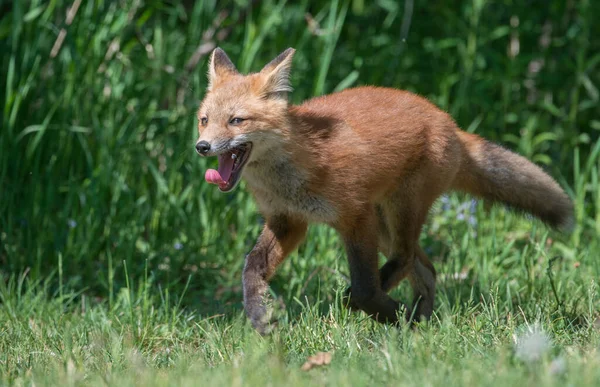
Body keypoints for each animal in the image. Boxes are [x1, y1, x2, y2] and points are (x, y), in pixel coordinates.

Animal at [195, 47, 576, 334]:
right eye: (204, 120)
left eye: (236, 121)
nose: (202, 146)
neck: (294, 167)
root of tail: (449, 123)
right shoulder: (288, 220)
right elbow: (252, 267)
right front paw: (259, 314)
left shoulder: (354, 216)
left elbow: (364, 288)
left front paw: (384, 310)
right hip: (385, 227)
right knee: (426, 268)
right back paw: (421, 321)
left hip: (400, 210)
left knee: (406, 259)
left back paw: (405, 317)